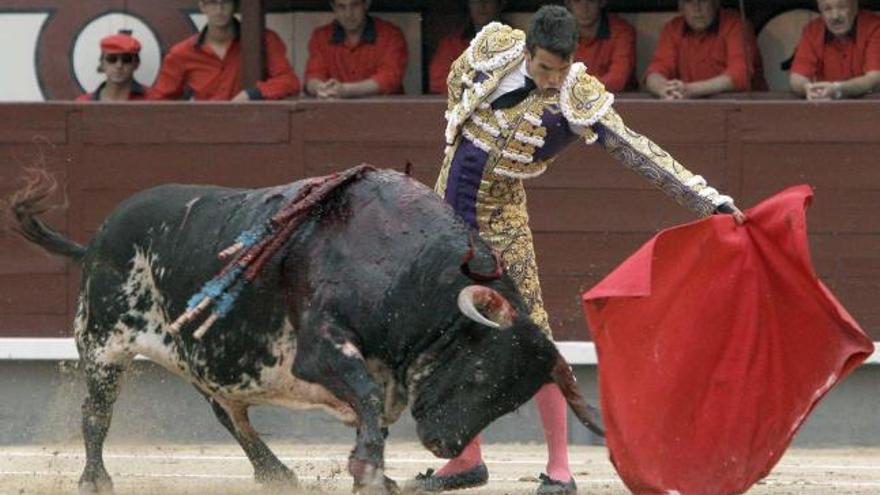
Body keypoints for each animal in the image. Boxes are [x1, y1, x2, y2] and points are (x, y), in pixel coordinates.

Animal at [10, 167, 604, 495]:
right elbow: (367, 399)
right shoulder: (321, 352)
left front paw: (377, 473)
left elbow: (371, 412)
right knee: (96, 413)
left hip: (207, 361)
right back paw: (95, 480)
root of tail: (96, 239)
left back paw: (277, 474)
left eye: (512, 401)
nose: (442, 443)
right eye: (480, 369)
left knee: (230, 416)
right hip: (103, 344)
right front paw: (371, 474)